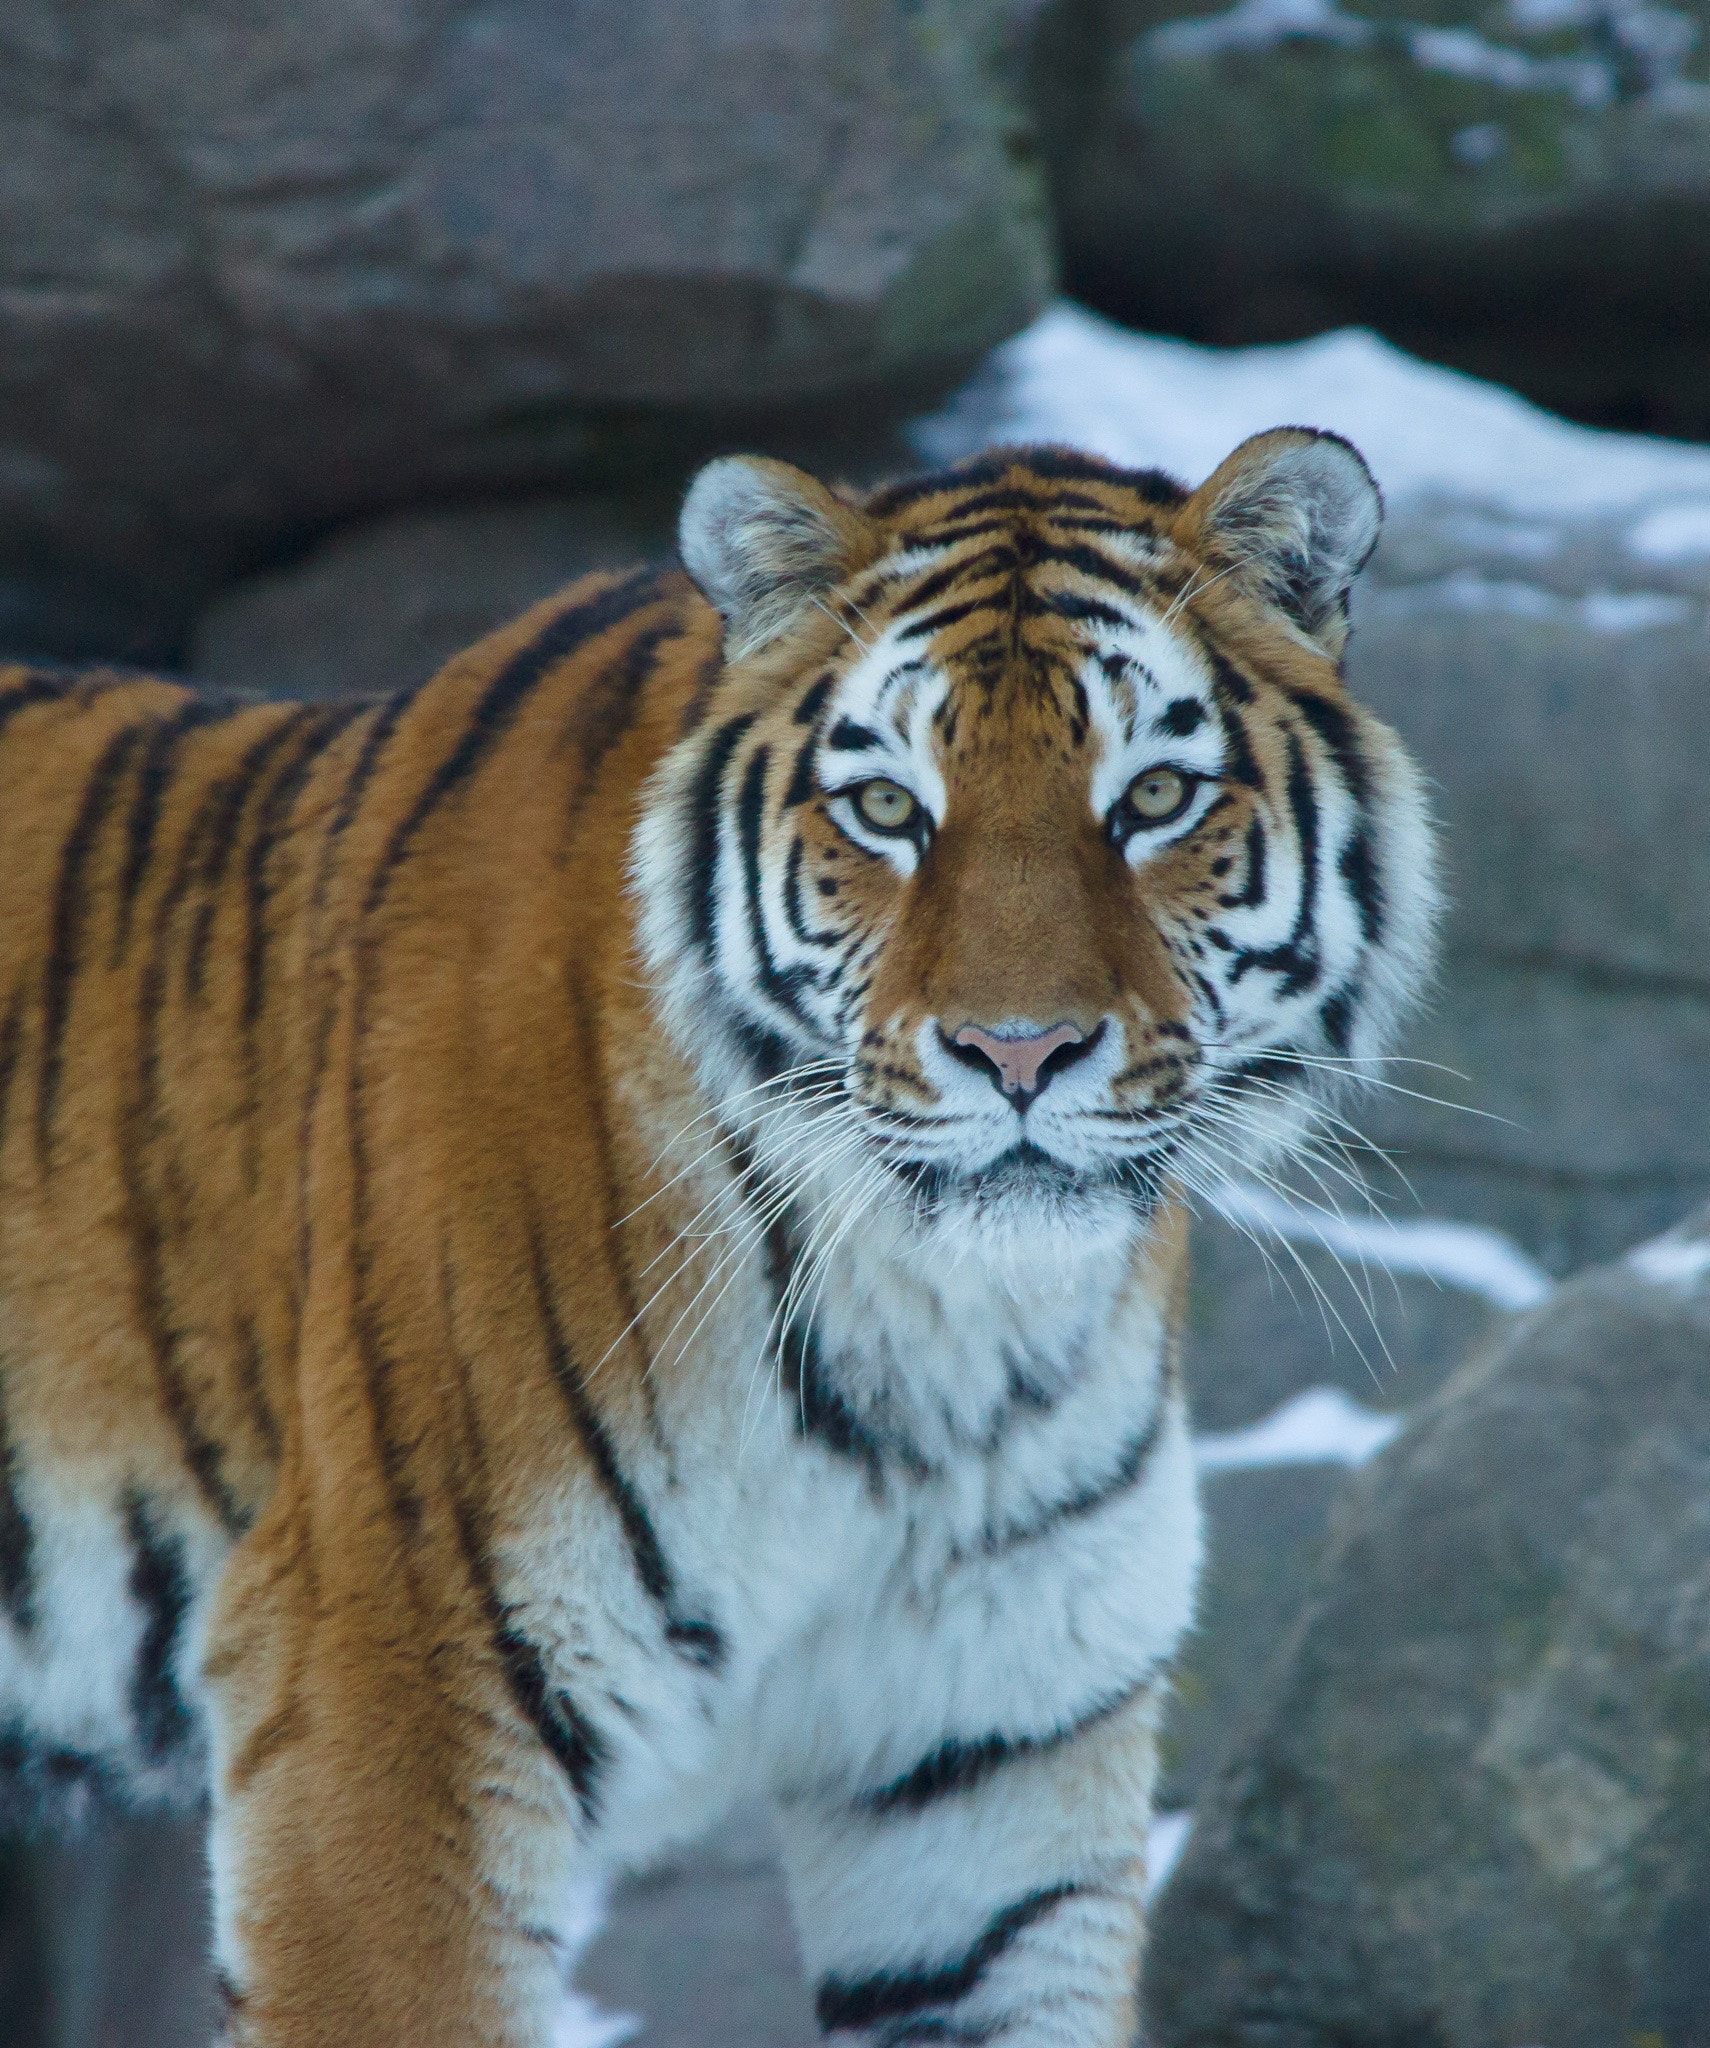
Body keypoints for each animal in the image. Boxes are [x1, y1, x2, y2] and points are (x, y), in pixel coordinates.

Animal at [0, 430, 1438, 2048]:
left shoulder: (994, 1756)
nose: (1017, 1052)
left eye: (1156, 797)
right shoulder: (382, 1688)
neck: (935, 1321)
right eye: (888, 811)